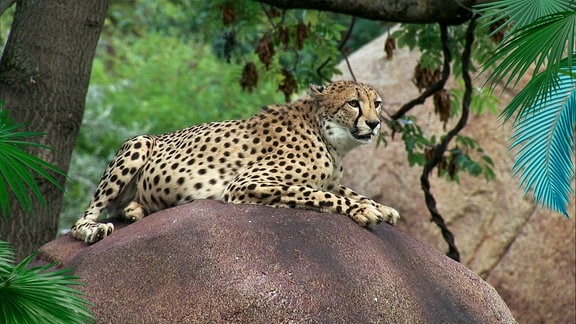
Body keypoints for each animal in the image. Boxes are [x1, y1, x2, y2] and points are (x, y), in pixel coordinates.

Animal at [70, 80, 398, 243]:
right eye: (353, 103)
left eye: (377, 103)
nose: (374, 124)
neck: (329, 138)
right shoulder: (247, 183)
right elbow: (320, 194)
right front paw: (363, 211)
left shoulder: (330, 179)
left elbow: (344, 189)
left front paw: (381, 206)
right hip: (138, 143)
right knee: (82, 219)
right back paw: (93, 230)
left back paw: (134, 210)